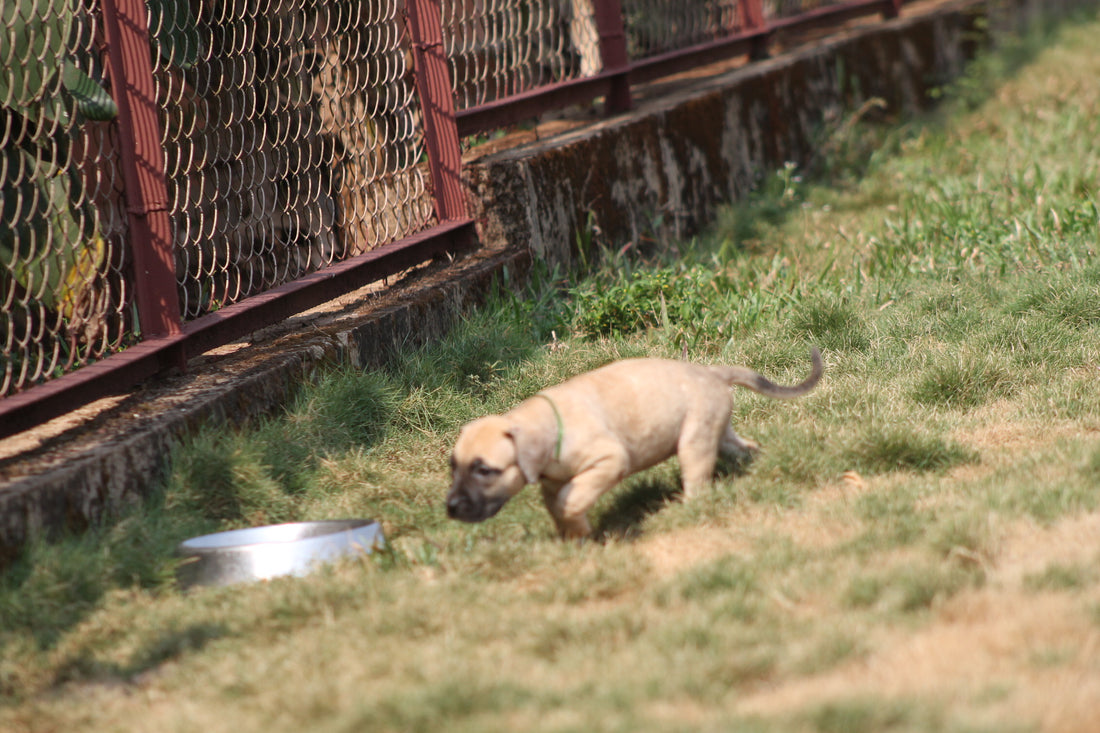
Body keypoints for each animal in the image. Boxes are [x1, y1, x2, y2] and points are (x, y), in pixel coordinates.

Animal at [442, 345, 822, 534]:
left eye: (484, 470)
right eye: (453, 467)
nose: (451, 508)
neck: (547, 425)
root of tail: (712, 372)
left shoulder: (609, 460)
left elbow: (570, 498)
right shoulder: (551, 483)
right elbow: (558, 506)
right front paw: (577, 538)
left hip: (693, 444)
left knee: (697, 478)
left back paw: (688, 508)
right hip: (716, 429)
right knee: (744, 449)